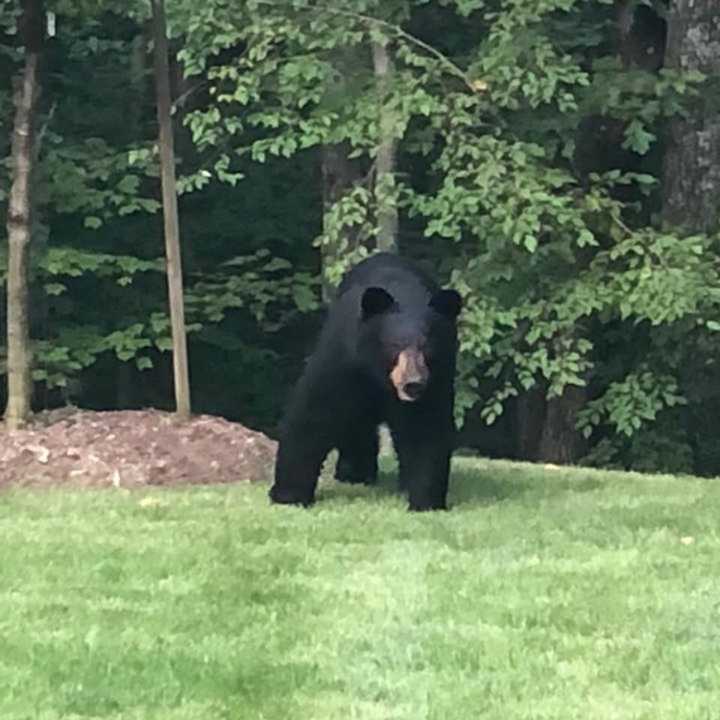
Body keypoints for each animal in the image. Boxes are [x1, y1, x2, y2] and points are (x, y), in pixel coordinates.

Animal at [268, 253, 462, 512]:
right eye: (395, 345)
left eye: (427, 347)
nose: (413, 383)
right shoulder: (344, 358)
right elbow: (313, 414)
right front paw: (288, 495)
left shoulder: (436, 378)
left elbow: (426, 427)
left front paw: (425, 501)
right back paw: (354, 473)